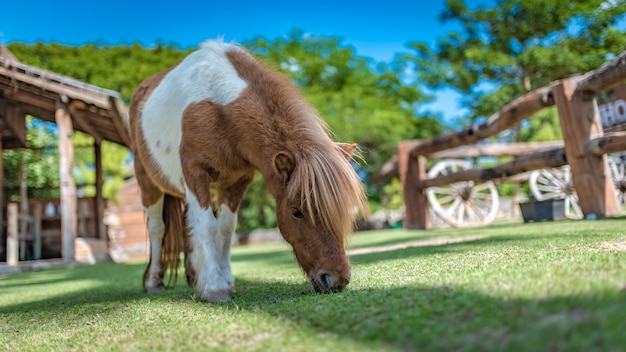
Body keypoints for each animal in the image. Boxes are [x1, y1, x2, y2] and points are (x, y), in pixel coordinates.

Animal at [129, 39, 368, 302]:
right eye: (296, 212)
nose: (337, 278)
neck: (219, 109)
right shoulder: (195, 175)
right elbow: (207, 226)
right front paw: (215, 288)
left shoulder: (236, 182)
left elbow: (225, 229)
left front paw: (225, 281)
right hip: (148, 184)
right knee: (157, 229)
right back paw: (154, 282)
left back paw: (194, 278)